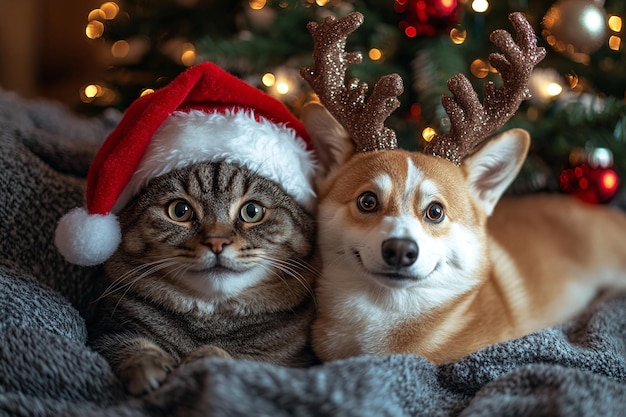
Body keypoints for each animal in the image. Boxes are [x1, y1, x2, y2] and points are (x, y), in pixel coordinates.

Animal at [89, 161, 316, 394]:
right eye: (180, 210)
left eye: (252, 211)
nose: (217, 242)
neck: (213, 320)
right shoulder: (102, 332)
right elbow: (124, 344)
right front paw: (147, 364)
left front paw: (206, 356)